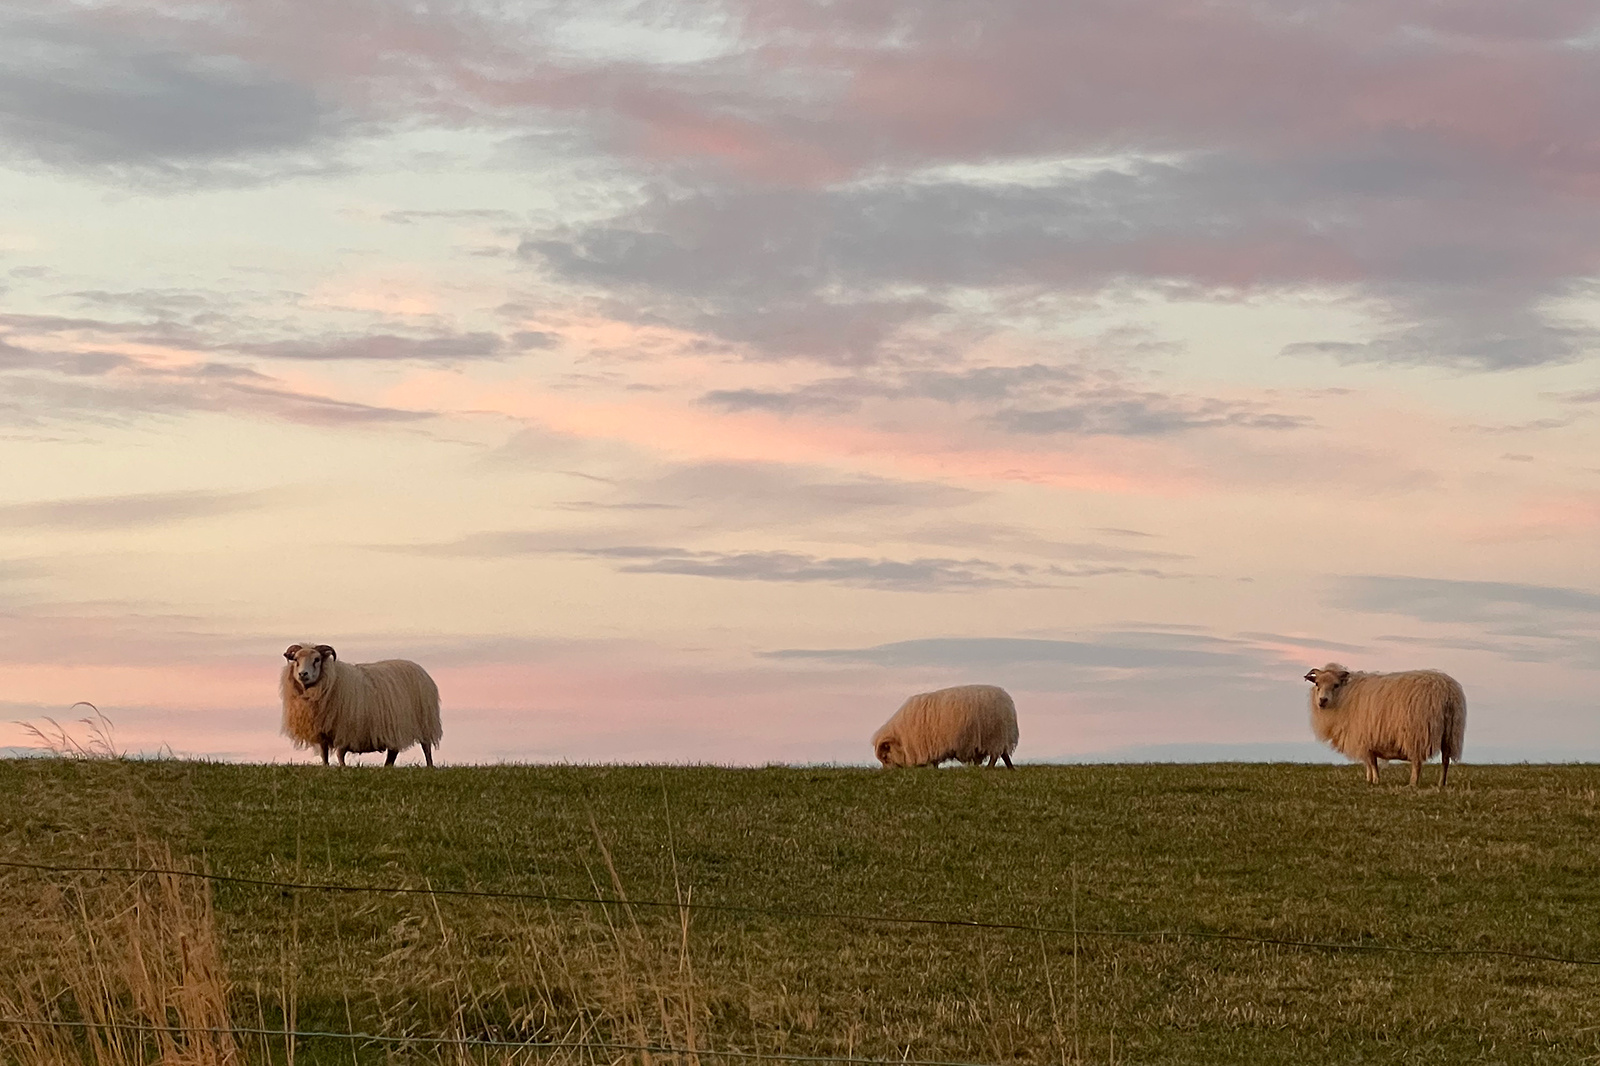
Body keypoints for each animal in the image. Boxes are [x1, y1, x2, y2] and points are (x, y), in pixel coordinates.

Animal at [280, 640, 441, 765]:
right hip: (393, 728)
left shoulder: (346, 729)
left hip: (425, 722)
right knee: (393, 752)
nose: (303, 674)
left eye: (317, 659)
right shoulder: (322, 730)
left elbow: (339, 753)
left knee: (426, 747)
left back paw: (430, 766)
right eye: (296, 660)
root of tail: (418, 667)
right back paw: (386, 768)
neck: (333, 679)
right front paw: (326, 767)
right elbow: (324, 753)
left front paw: (343, 768)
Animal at [870, 685, 1017, 768]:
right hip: (998, 737)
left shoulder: (929, 746)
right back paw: (1010, 769)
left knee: (996, 755)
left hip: (994, 736)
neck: (901, 738)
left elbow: (933, 762)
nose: (887, 772)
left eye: (885, 757)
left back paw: (989, 769)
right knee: (1004, 754)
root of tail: (1007, 701)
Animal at [1299, 659, 1465, 784]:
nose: (1322, 700)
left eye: (1336, 684)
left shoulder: (1365, 738)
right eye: (1317, 684)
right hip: (1451, 732)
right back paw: (1441, 783)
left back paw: (1413, 783)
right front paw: (1369, 780)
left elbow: (1372, 763)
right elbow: (1369, 763)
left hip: (1417, 733)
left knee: (1417, 762)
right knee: (1445, 760)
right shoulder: (1366, 740)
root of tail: (1447, 691)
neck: (1345, 695)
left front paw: (1376, 781)